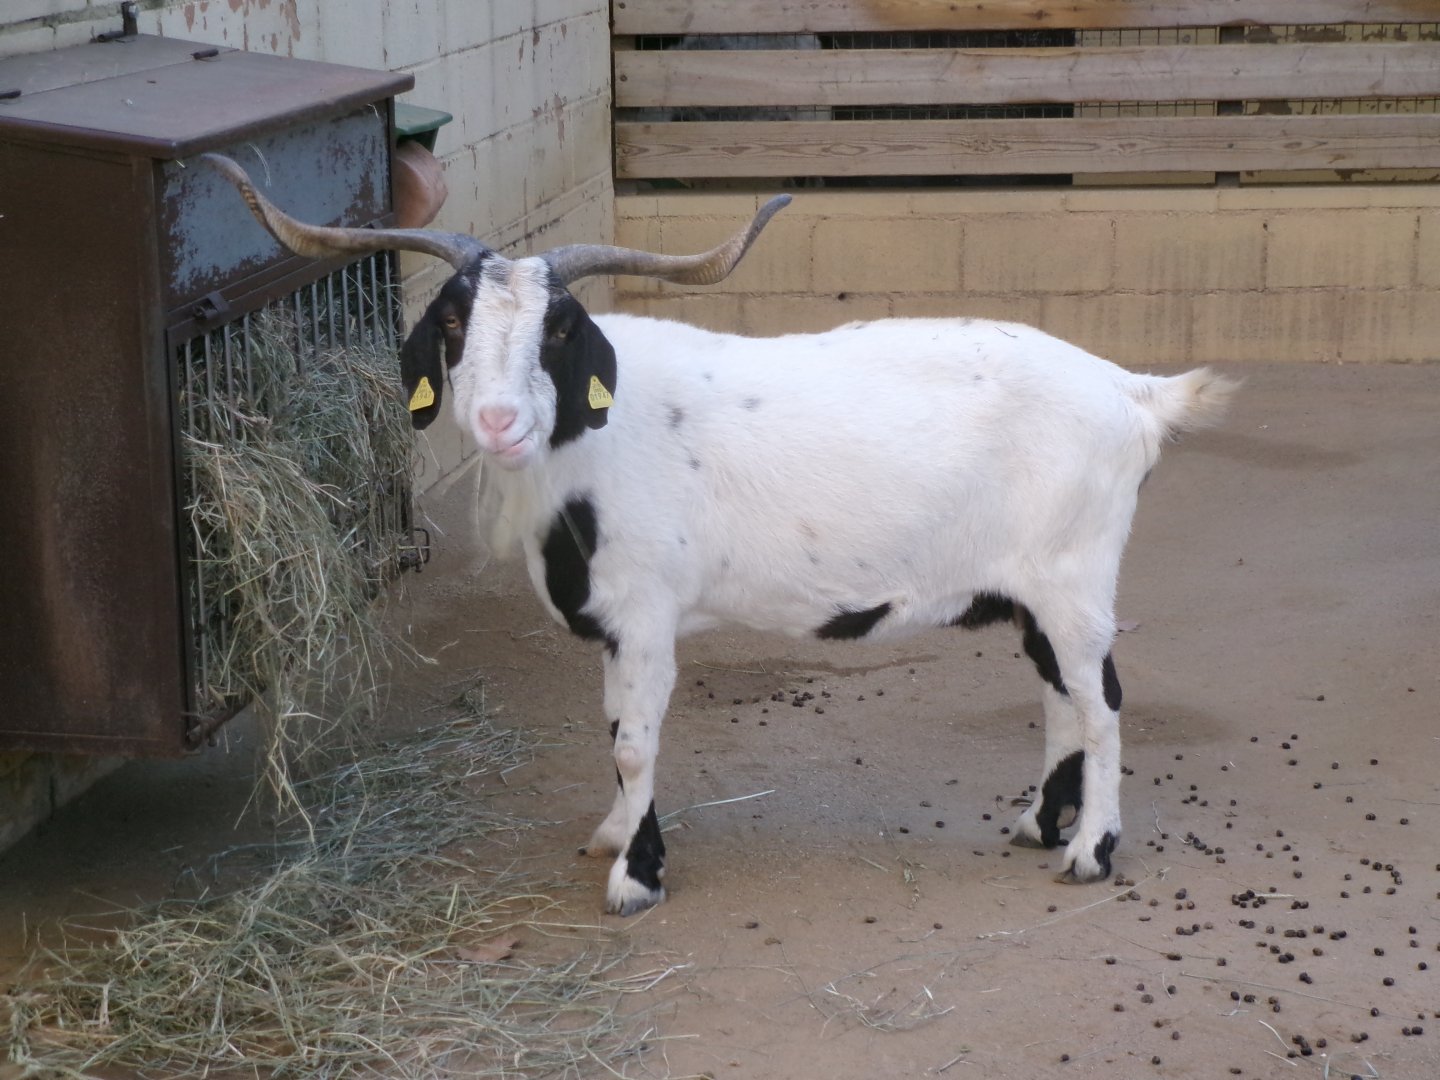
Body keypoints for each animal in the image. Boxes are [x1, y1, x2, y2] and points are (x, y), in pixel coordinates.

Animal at [206, 154, 1237, 915]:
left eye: (558, 330)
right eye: (454, 320)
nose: (496, 421)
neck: (591, 444)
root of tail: (1134, 394)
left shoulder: (646, 612)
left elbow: (634, 741)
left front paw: (637, 877)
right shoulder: (617, 623)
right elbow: (614, 728)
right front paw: (614, 836)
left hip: (1073, 578)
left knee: (1102, 704)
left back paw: (1091, 853)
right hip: (1030, 590)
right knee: (1063, 697)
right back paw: (1036, 827)